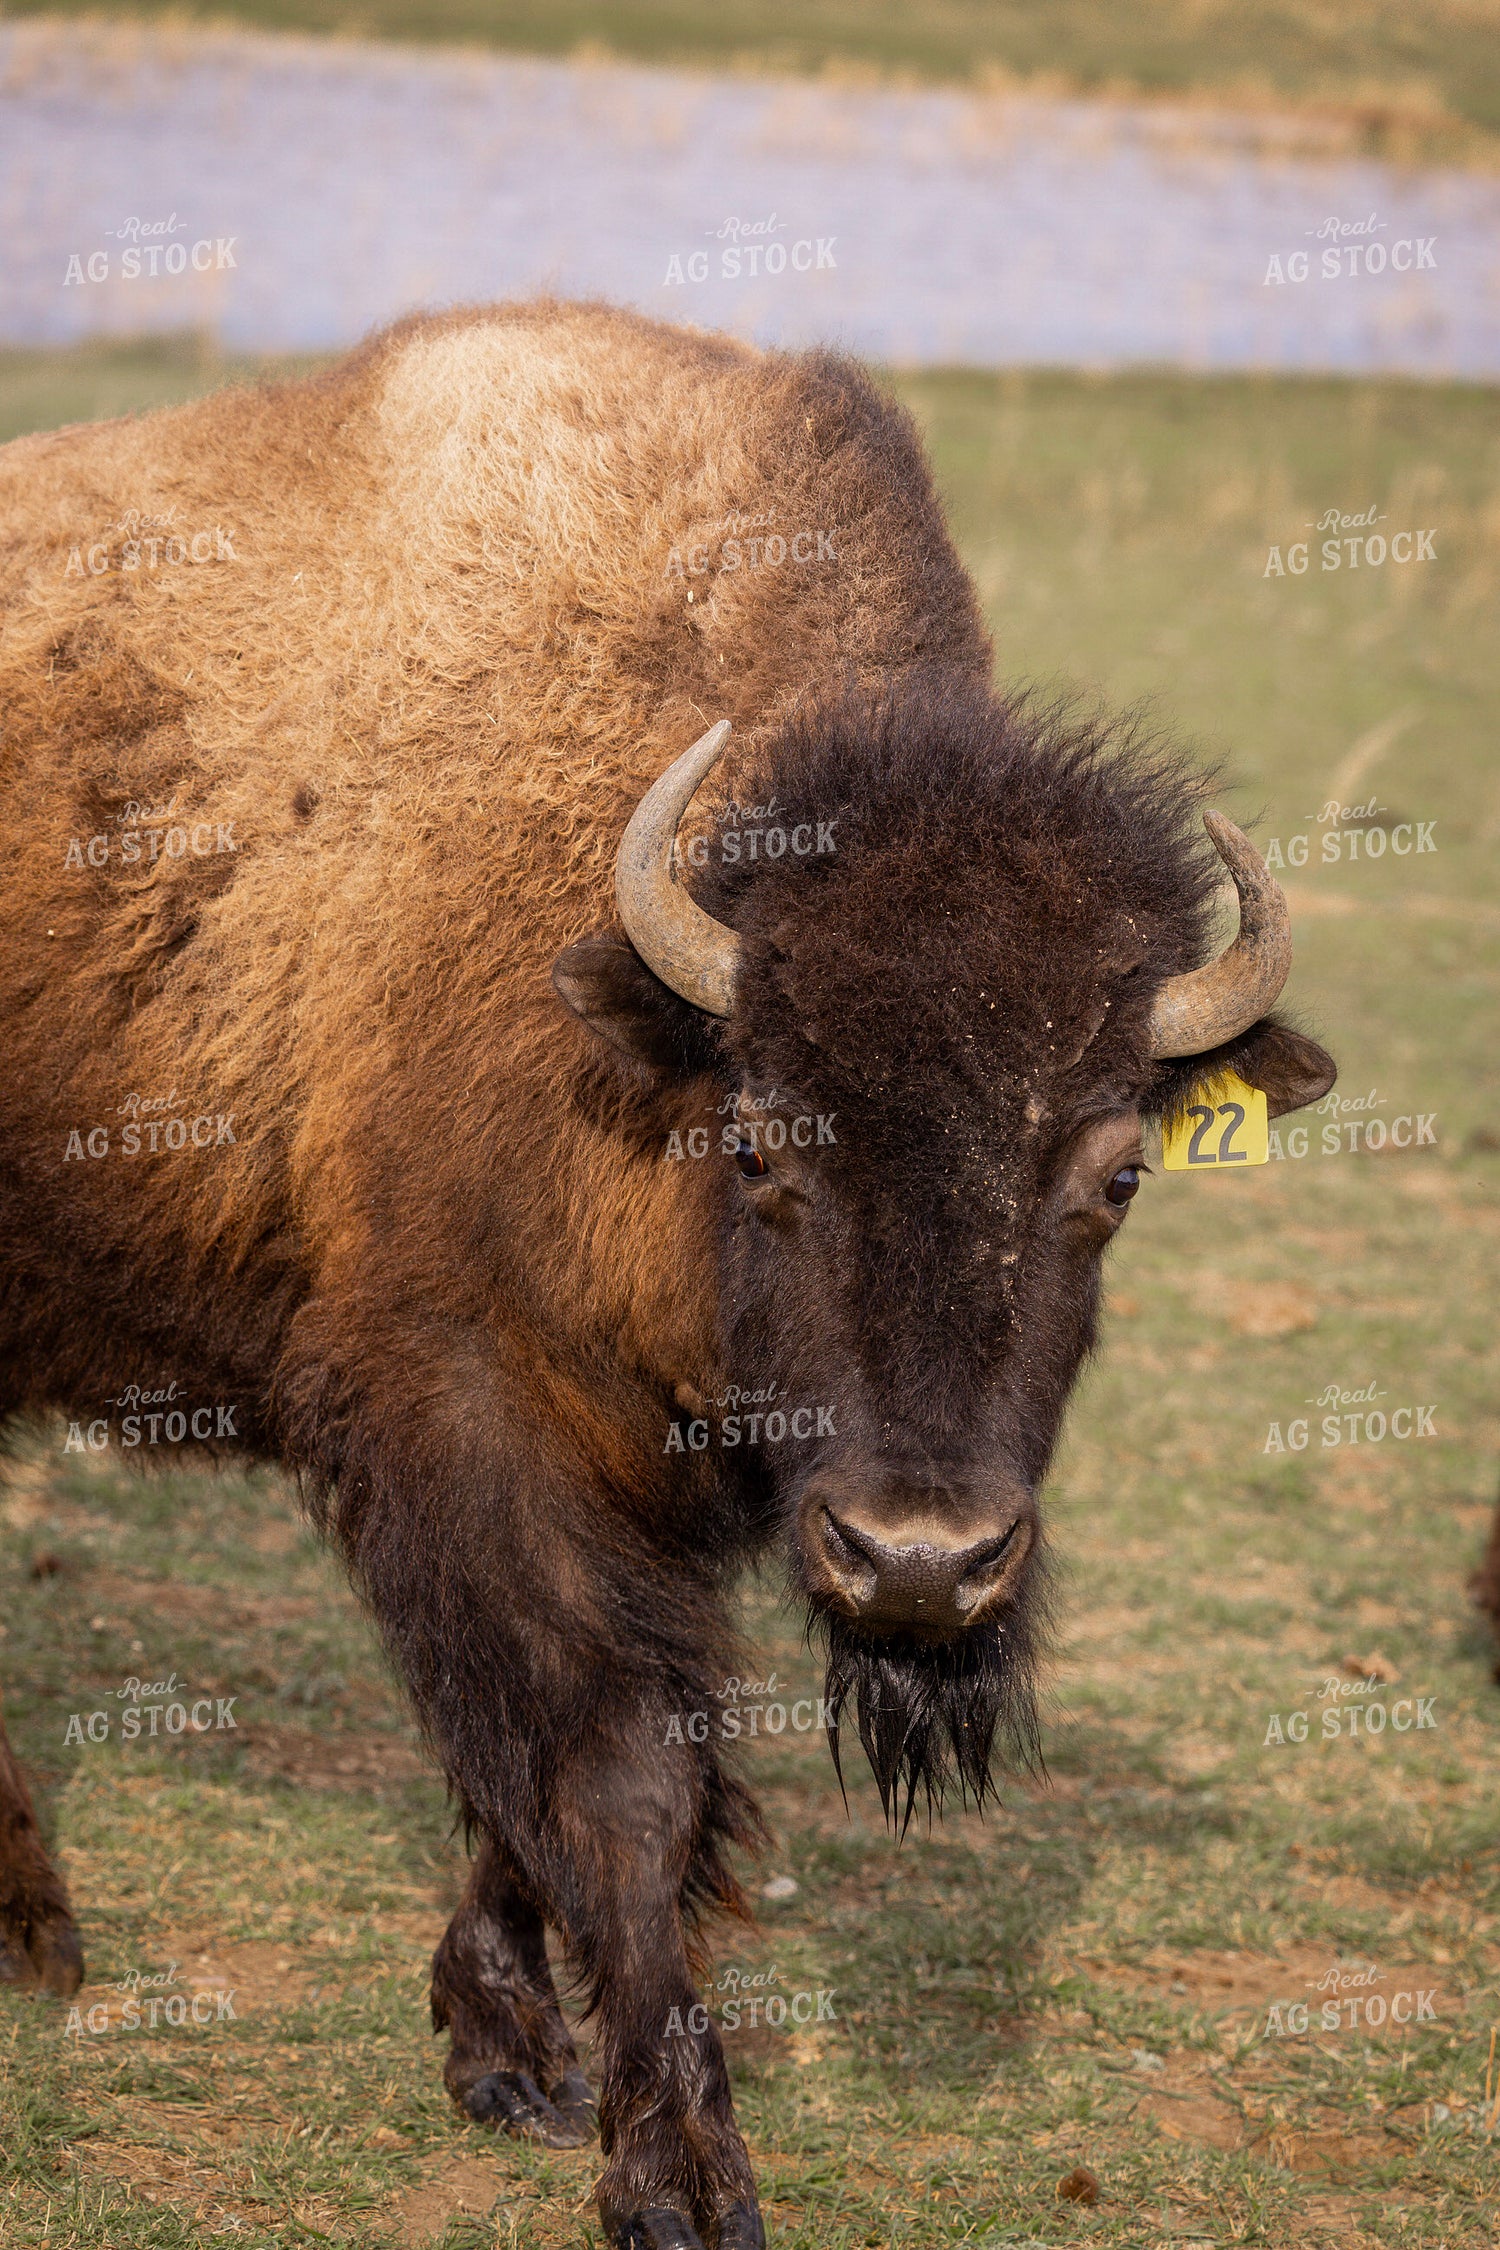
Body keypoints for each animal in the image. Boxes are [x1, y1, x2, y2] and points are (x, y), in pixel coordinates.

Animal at [0, 299, 1335, 2248]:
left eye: (1118, 1173)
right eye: (765, 1141)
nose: (920, 1563)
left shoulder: (637, 1483)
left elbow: (532, 1786)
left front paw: (507, 2056)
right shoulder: (469, 1419)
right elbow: (616, 1776)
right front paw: (678, 2171)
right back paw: (39, 1935)